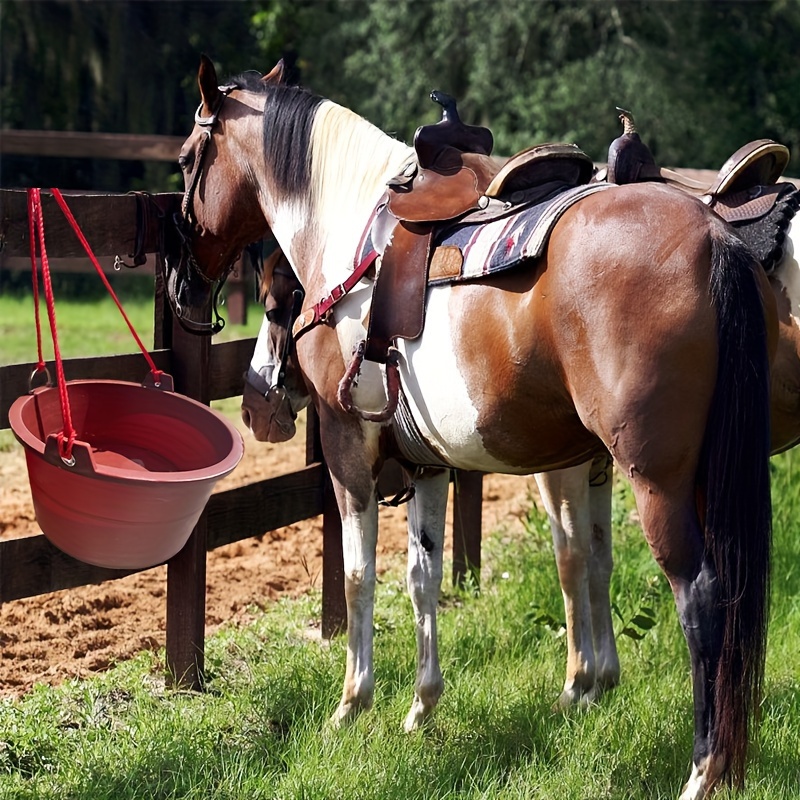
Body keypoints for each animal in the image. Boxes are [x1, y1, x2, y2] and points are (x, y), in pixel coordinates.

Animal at [178, 56, 780, 800]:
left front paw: (352, 705)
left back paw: (703, 770)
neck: (348, 240)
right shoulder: (430, 463)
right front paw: (421, 707)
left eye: (187, 159)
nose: (257, 408)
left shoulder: (349, 448)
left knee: (702, 598)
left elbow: (357, 575)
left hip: (659, 480)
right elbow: (423, 574)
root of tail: (716, 238)